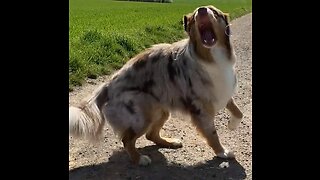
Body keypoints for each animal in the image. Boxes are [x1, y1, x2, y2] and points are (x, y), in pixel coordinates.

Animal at [69, 5, 242, 166]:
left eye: (214, 11)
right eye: (194, 17)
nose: (202, 10)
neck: (211, 58)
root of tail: (108, 85)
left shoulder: (223, 90)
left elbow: (238, 111)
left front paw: (232, 125)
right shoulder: (201, 108)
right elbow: (212, 134)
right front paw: (222, 152)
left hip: (161, 109)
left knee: (150, 135)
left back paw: (170, 142)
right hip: (143, 113)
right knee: (127, 139)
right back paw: (139, 159)